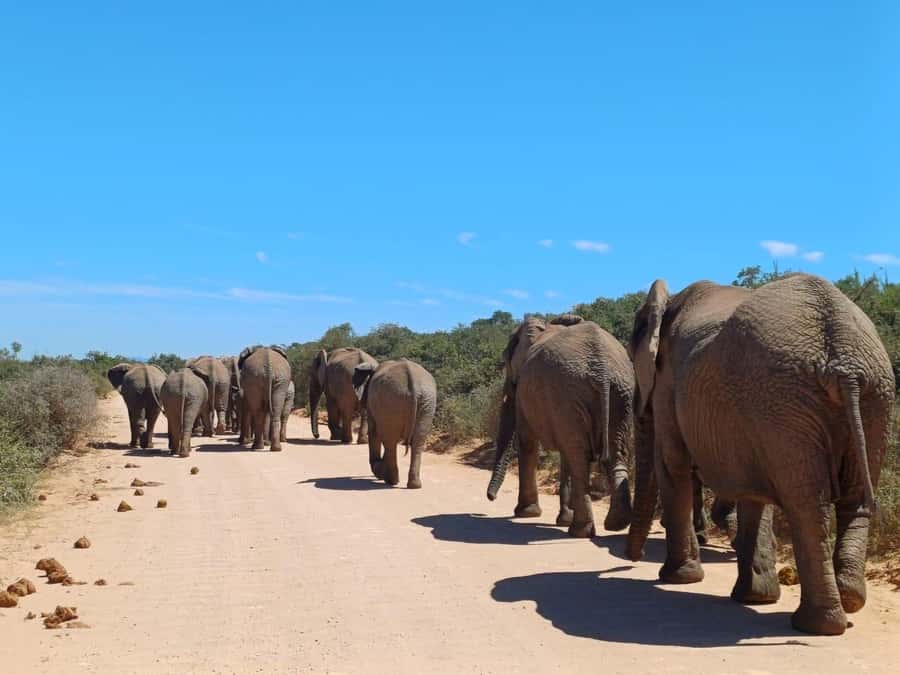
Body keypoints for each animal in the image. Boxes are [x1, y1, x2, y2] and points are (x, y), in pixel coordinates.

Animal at [352, 358, 437, 489]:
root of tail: (413, 381)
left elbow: (374, 432)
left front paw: (379, 472)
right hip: (425, 401)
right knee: (417, 441)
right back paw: (413, 485)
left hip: (393, 399)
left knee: (390, 441)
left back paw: (392, 481)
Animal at [486, 315, 634, 537]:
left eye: (506, 359)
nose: (491, 498)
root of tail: (602, 368)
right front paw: (563, 519)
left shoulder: (526, 393)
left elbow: (528, 442)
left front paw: (527, 513)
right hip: (620, 392)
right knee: (612, 452)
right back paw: (615, 524)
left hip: (572, 392)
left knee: (579, 458)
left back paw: (580, 531)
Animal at [625, 274, 895, 636]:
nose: (631, 558)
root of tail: (843, 358)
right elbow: (753, 490)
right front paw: (756, 598)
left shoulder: (669, 383)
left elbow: (672, 463)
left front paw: (678, 579)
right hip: (861, 396)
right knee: (853, 500)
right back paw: (847, 600)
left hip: (790, 398)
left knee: (809, 506)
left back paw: (815, 625)